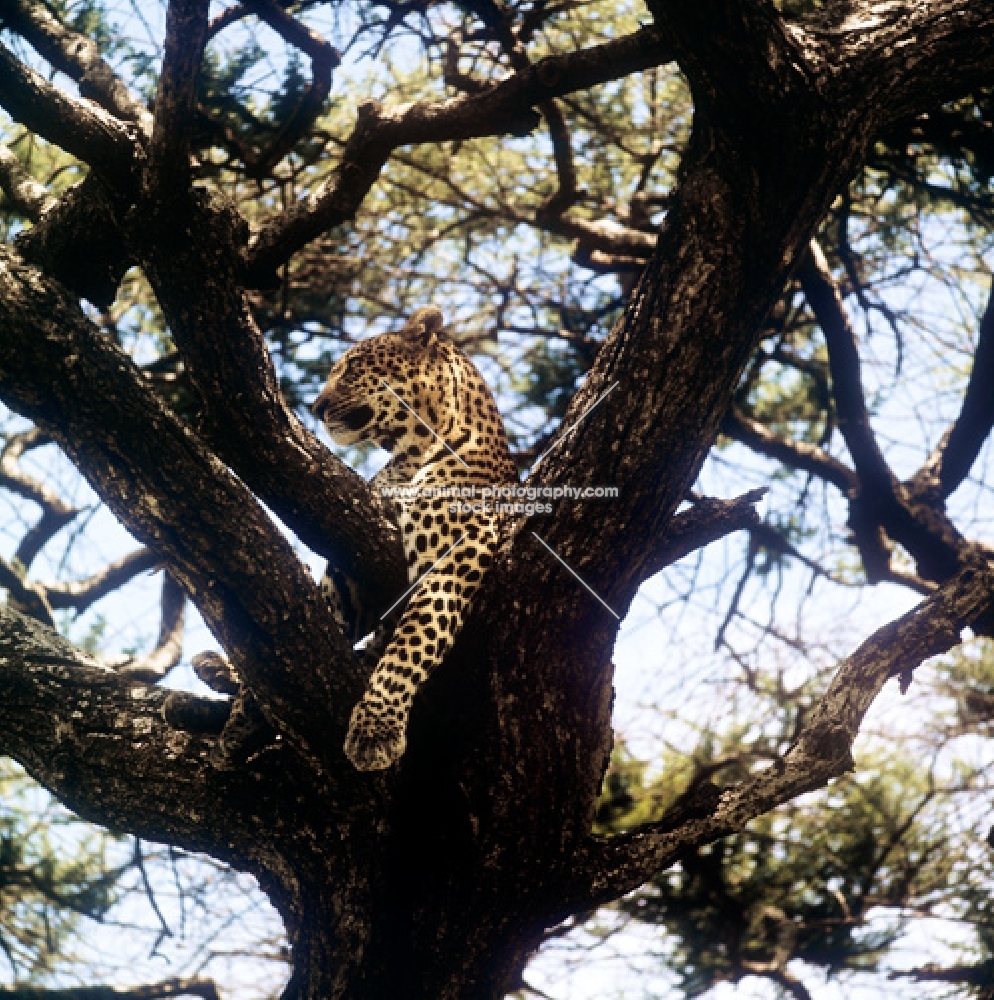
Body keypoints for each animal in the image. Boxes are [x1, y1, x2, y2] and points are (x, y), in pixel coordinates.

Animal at [314, 308, 516, 768]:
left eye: (353, 367)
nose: (316, 408)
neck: (411, 452)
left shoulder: (457, 548)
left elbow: (411, 642)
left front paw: (375, 730)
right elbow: (332, 601)